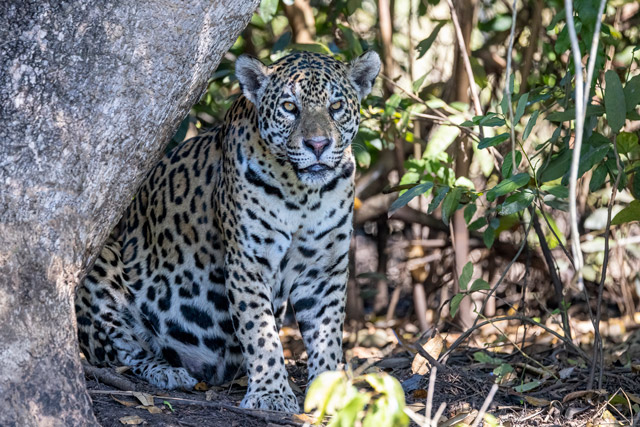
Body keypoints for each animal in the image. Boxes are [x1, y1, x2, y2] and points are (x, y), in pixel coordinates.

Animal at [75, 50, 380, 413]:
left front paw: (330, 391)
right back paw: (168, 372)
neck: (304, 194)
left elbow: (327, 333)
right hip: (102, 264)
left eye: (336, 106)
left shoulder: (324, 268)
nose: (317, 144)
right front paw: (271, 394)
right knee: (123, 353)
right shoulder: (248, 262)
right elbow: (260, 332)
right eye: (289, 107)